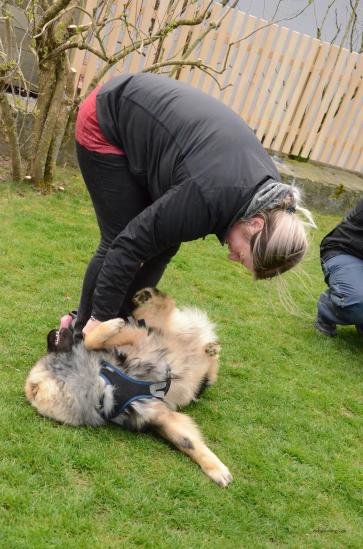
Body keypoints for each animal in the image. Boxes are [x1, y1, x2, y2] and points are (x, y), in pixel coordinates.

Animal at [27, 286, 235, 484]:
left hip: (154, 323)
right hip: (200, 381)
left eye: (49, 348)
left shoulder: (135, 339)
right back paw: (211, 348)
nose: (50, 333)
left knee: (165, 307)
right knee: (209, 364)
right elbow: (186, 441)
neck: (100, 382)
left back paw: (149, 296)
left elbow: (90, 339)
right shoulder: (156, 414)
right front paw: (216, 469)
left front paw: (110, 325)